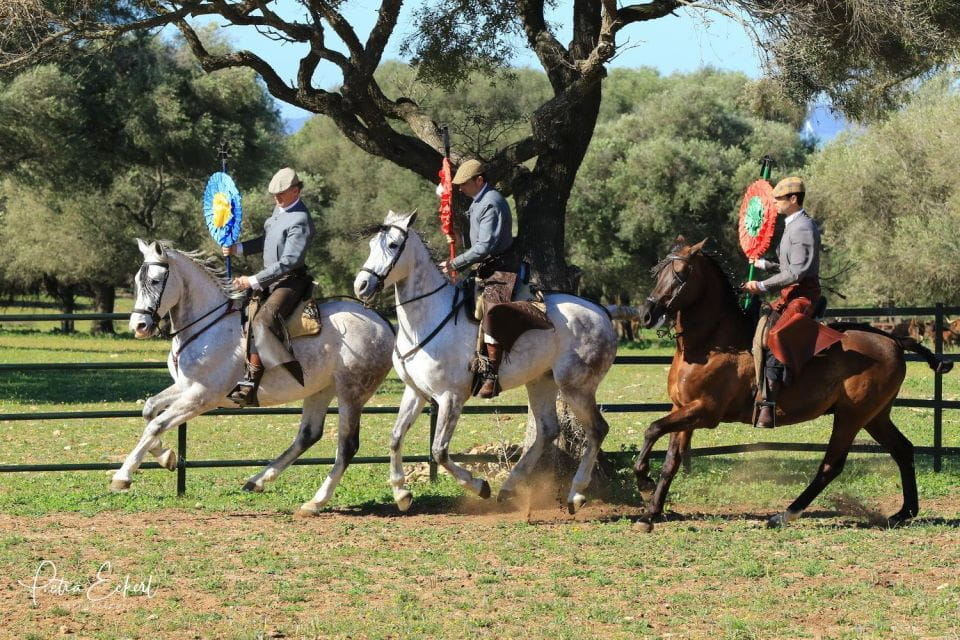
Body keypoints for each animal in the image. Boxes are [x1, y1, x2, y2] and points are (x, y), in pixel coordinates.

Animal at [117, 239, 395, 514]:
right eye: (137, 280)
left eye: (155, 281)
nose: (139, 326)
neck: (207, 326)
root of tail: (381, 321)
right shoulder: (185, 387)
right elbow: (150, 410)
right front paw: (166, 456)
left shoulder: (202, 396)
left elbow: (156, 424)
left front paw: (123, 475)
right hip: (320, 390)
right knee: (308, 435)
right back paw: (258, 481)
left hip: (352, 393)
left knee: (347, 446)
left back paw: (315, 501)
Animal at [353, 211, 618, 514]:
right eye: (372, 244)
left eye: (394, 245)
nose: (361, 286)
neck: (428, 317)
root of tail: (601, 312)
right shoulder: (415, 391)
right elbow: (396, 437)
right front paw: (401, 493)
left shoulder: (451, 398)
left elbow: (439, 451)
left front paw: (479, 486)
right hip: (541, 381)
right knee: (548, 430)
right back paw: (510, 487)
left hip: (576, 387)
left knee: (597, 429)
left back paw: (575, 493)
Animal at [633, 237, 953, 527]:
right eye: (657, 273)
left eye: (681, 273)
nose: (647, 315)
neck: (712, 344)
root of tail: (892, 340)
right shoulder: (682, 408)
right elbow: (671, 460)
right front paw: (651, 512)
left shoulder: (705, 410)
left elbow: (652, 429)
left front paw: (644, 483)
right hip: (875, 416)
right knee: (903, 449)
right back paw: (904, 512)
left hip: (851, 416)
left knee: (831, 465)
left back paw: (785, 514)